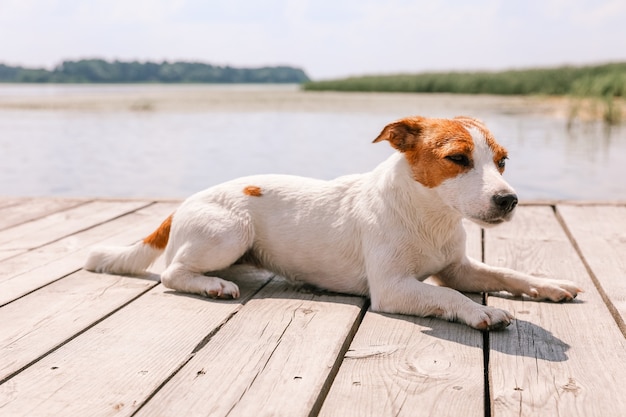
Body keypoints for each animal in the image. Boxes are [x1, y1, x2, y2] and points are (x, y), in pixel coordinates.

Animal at [84, 114, 580, 328]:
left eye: (502, 161)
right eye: (458, 159)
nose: (510, 200)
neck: (429, 217)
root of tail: (180, 205)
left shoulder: (457, 267)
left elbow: (507, 272)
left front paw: (549, 285)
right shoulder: (393, 288)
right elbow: (453, 298)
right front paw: (482, 312)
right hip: (230, 232)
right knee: (172, 273)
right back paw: (212, 286)